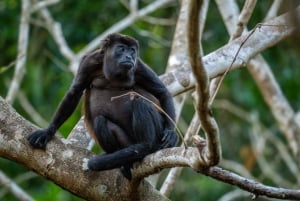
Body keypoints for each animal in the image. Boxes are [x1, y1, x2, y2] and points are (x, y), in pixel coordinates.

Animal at [27, 33, 177, 179]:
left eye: (132, 51)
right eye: (121, 48)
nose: (129, 56)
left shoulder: (138, 66)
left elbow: (162, 92)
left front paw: (171, 133)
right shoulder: (88, 61)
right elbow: (74, 92)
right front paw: (48, 131)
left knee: (140, 103)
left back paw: (145, 146)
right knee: (100, 120)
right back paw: (127, 162)